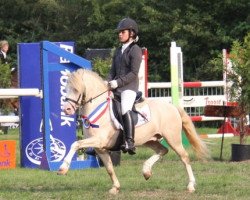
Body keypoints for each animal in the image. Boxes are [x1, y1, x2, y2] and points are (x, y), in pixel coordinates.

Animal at [57, 68, 208, 194]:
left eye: (76, 89)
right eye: (66, 88)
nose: (67, 109)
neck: (98, 107)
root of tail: (172, 106)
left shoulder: (98, 141)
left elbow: (75, 144)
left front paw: (63, 168)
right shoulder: (100, 148)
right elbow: (109, 168)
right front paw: (115, 188)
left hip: (173, 138)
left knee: (184, 157)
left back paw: (191, 185)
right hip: (150, 140)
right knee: (163, 150)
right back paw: (146, 171)